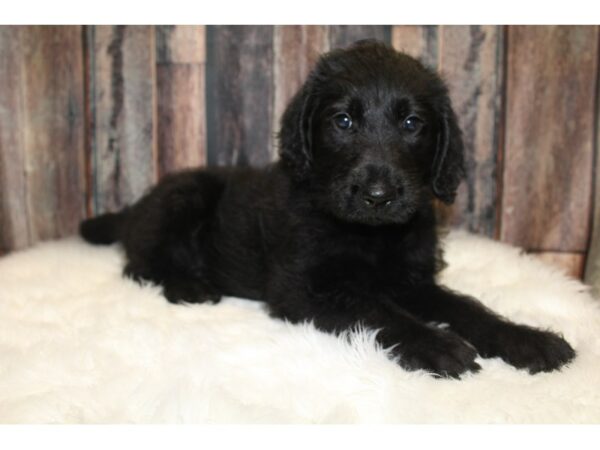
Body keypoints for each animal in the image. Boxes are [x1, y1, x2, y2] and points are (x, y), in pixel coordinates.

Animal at [81, 38, 576, 378]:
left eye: (412, 123)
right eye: (343, 121)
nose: (378, 195)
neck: (370, 235)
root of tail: (133, 210)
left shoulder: (413, 280)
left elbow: (469, 307)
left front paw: (528, 340)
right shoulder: (302, 290)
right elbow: (375, 309)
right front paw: (437, 345)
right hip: (183, 197)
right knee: (139, 264)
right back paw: (189, 286)